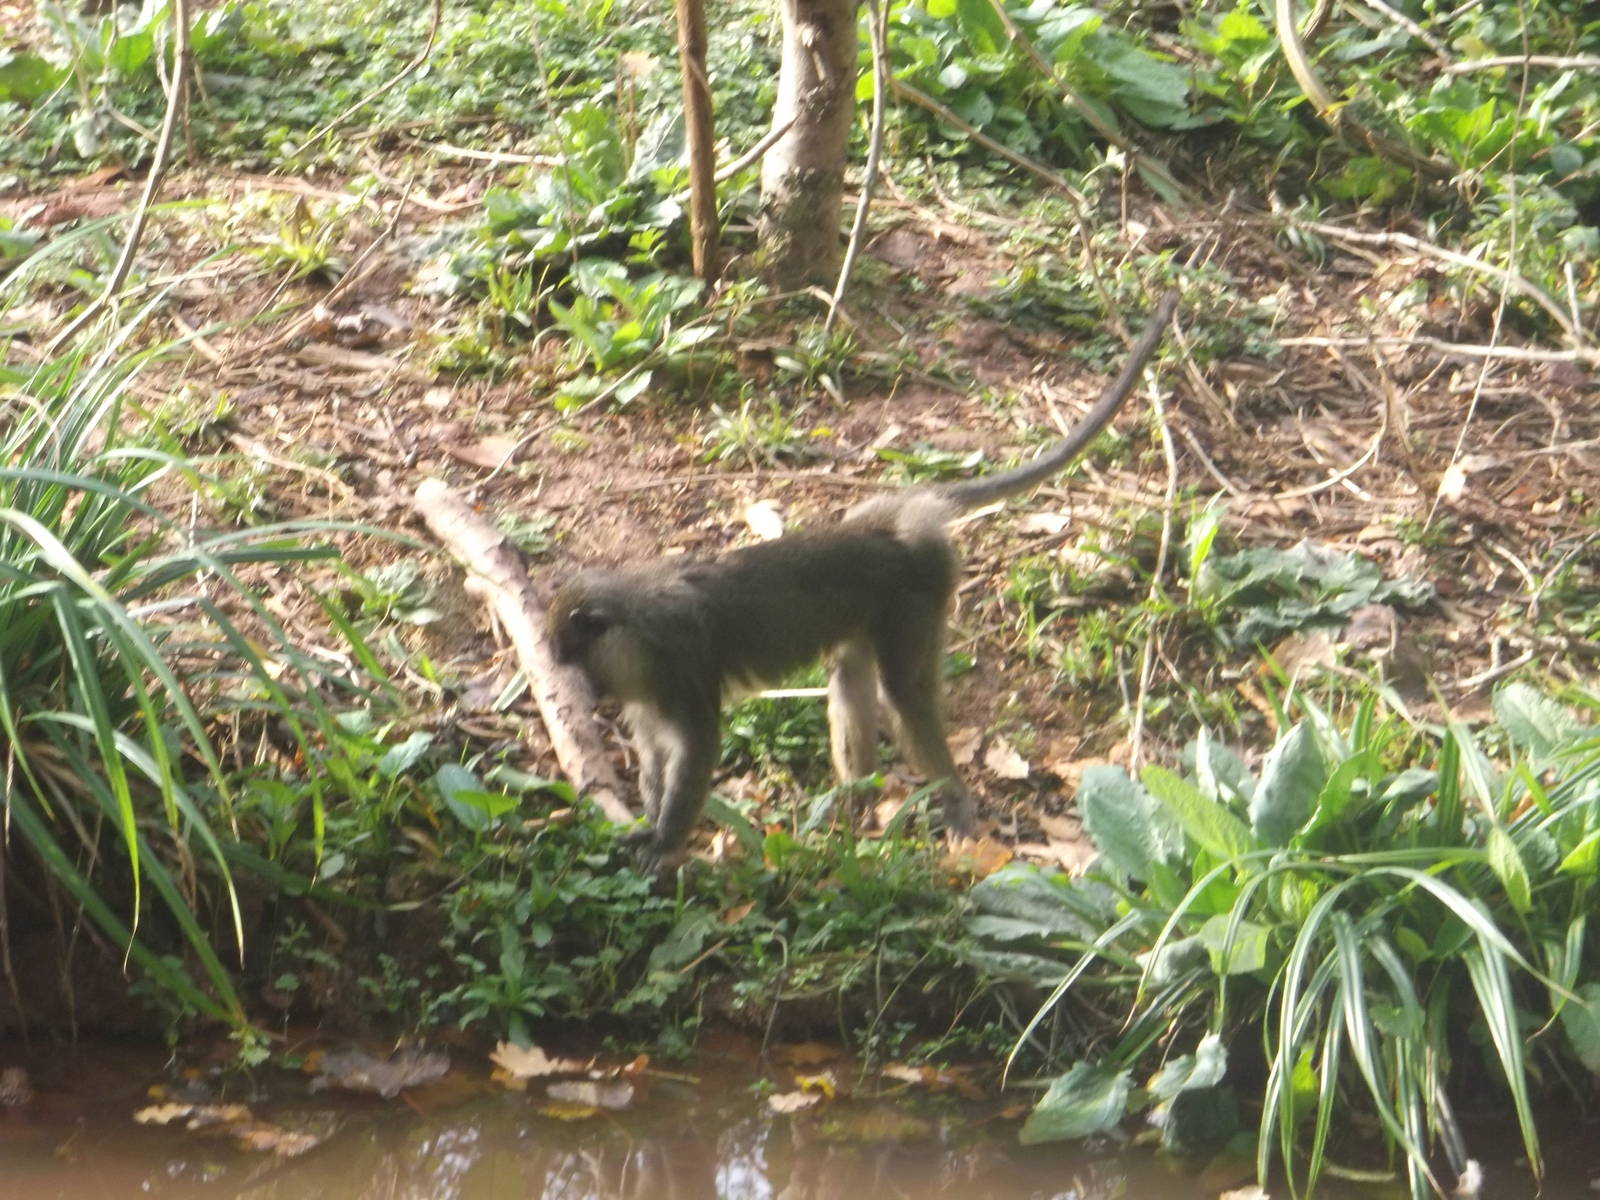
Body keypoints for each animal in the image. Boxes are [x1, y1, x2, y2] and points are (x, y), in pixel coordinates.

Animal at [549, 291, 1178, 870]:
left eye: (580, 661)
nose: (591, 697)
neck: (632, 623)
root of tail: (895, 532)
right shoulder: (645, 689)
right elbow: (656, 754)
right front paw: (646, 826)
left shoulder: (676, 664)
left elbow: (698, 747)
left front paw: (664, 844)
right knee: (850, 675)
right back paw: (857, 802)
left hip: (917, 603)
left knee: (904, 694)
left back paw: (952, 802)